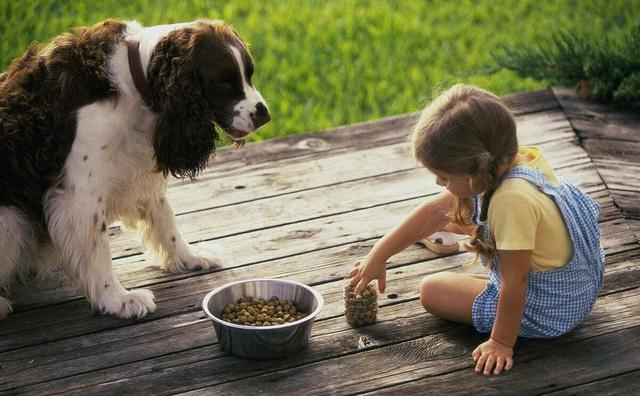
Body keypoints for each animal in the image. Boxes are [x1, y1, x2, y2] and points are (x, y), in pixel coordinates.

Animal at [0, 20, 270, 320]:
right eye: (223, 82)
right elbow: (98, 249)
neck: (133, 80)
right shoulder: (79, 193)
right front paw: (117, 300)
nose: (264, 114)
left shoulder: (137, 170)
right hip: (11, 219)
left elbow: (166, 219)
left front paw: (190, 258)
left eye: (249, 75)